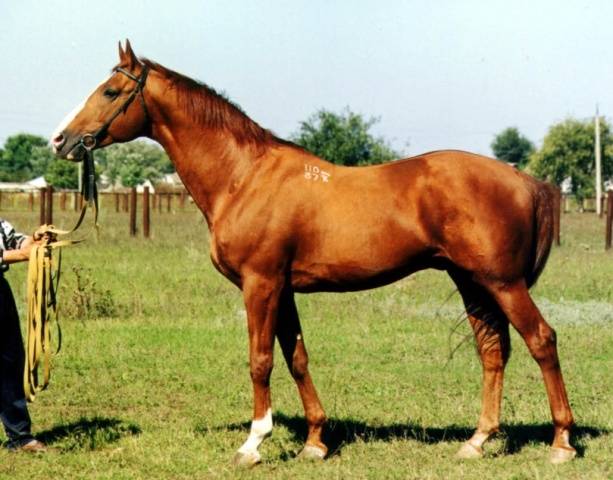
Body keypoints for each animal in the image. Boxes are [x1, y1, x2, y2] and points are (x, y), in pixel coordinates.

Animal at [51, 42, 572, 464]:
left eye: (111, 92)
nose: (61, 140)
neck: (244, 176)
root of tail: (524, 179)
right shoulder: (283, 289)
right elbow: (296, 357)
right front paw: (315, 443)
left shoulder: (260, 285)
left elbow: (260, 359)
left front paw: (253, 443)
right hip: (471, 282)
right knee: (493, 352)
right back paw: (477, 442)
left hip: (503, 283)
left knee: (542, 341)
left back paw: (562, 443)